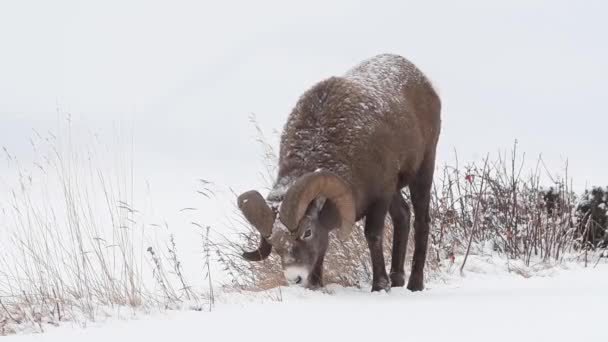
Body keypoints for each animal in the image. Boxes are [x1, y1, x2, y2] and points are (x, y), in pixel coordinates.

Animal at [238, 53, 442, 292]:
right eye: (273, 241)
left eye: (306, 232)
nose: (295, 279)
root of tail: (421, 78)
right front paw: (316, 284)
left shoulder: (381, 196)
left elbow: (373, 236)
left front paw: (379, 286)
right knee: (403, 216)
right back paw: (398, 280)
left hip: (423, 171)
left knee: (421, 221)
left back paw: (414, 285)